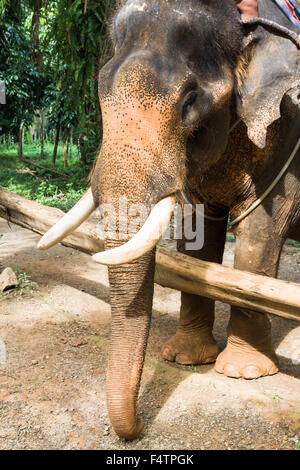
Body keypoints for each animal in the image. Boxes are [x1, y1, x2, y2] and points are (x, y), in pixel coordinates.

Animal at [37, 0, 300, 440]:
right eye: (101, 90)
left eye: (190, 100)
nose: (139, 426)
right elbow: (198, 228)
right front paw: (184, 358)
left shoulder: (288, 131)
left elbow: (262, 229)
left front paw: (244, 371)